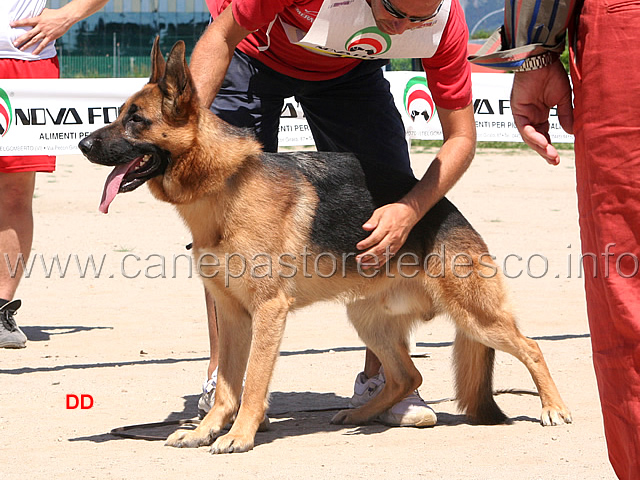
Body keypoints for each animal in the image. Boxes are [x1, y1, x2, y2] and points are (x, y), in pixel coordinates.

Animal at [77, 38, 572, 454]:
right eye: (119, 114)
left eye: (135, 120)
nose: (82, 144)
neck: (227, 184)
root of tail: (448, 210)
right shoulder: (232, 315)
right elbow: (227, 386)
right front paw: (205, 431)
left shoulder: (267, 313)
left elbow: (253, 383)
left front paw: (239, 436)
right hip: (367, 319)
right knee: (408, 373)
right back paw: (361, 414)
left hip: (476, 317)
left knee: (531, 346)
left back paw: (553, 407)